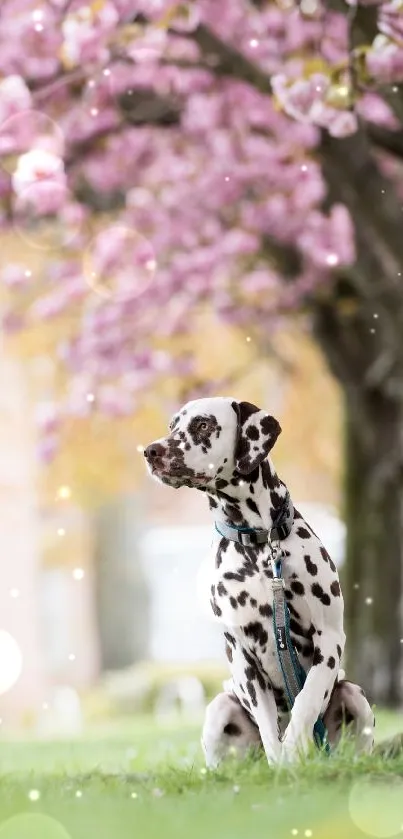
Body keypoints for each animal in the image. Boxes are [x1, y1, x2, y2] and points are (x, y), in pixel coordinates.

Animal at [144, 398, 376, 768]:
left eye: (203, 425)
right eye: (171, 426)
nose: (151, 451)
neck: (259, 544)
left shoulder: (329, 639)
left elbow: (306, 700)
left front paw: (294, 748)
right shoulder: (242, 655)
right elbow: (269, 727)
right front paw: (282, 764)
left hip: (355, 696)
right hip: (219, 708)